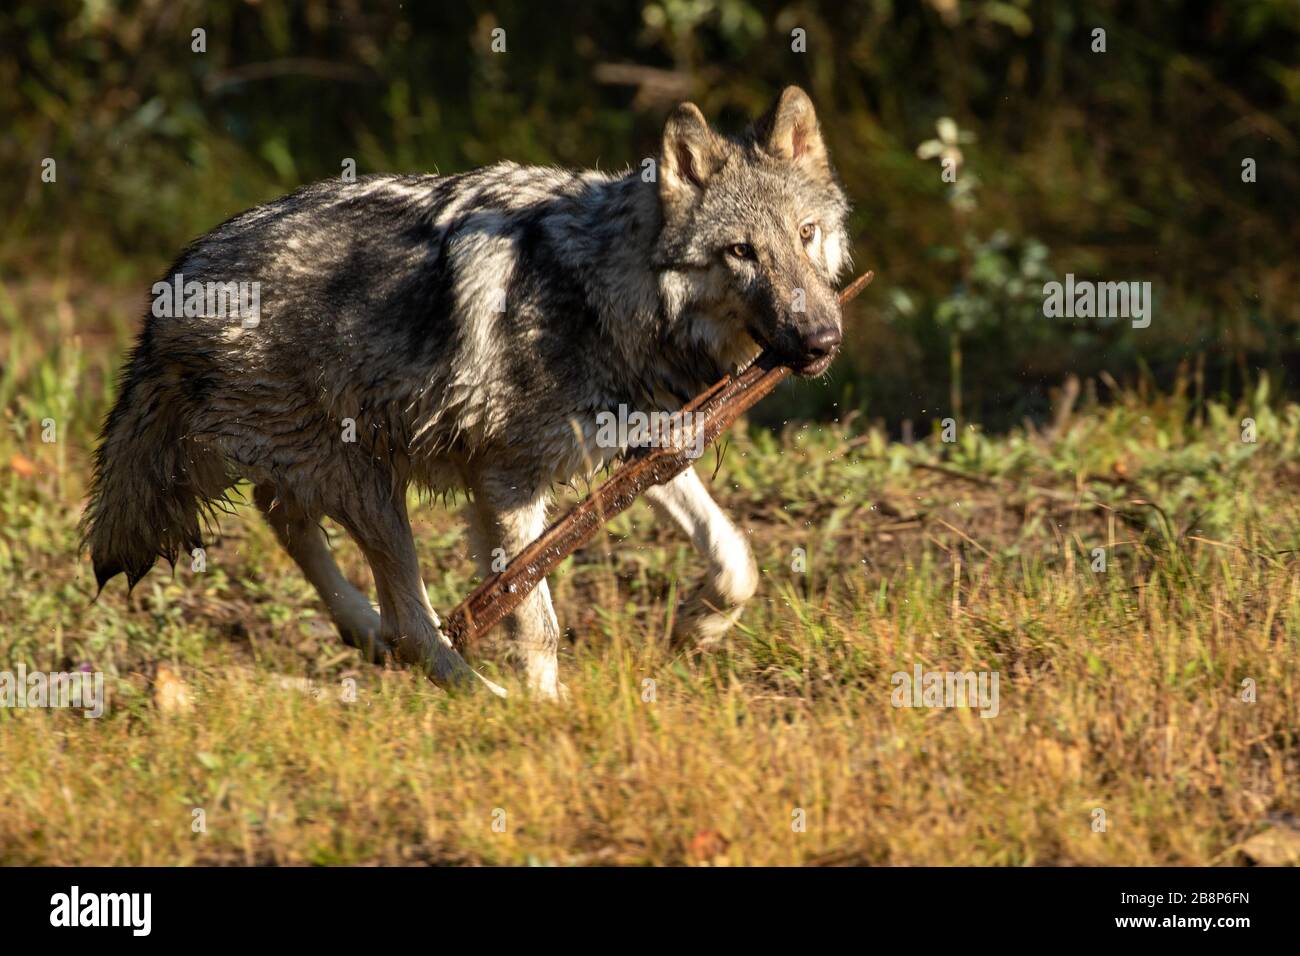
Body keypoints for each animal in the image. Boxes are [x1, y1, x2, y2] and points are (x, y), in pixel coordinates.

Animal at [81, 85, 852, 697]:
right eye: (741, 252)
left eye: (806, 235)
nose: (821, 341)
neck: (604, 292)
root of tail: (169, 290)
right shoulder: (507, 487)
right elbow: (535, 619)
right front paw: (548, 718)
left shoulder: (642, 446)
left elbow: (735, 557)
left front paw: (700, 626)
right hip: (371, 485)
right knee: (412, 622)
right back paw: (479, 694)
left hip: (343, 470)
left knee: (293, 523)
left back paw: (365, 632)